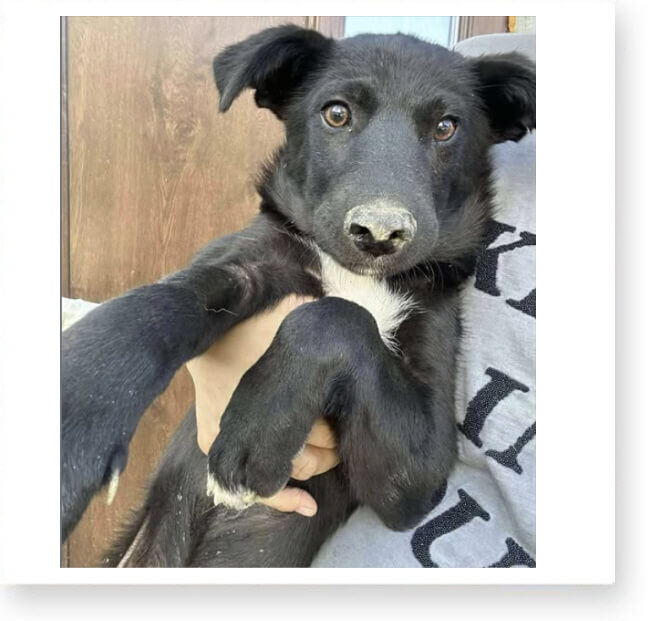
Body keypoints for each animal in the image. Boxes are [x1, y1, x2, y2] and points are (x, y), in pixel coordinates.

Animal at [61, 25, 535, 567]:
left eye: (445, 127)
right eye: (336, 114)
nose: (379, 233)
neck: (359, 278)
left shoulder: (421, 474)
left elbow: (335, 316)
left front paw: (256, 432)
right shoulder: (247, 263)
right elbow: (155, 304)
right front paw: (78, 415)